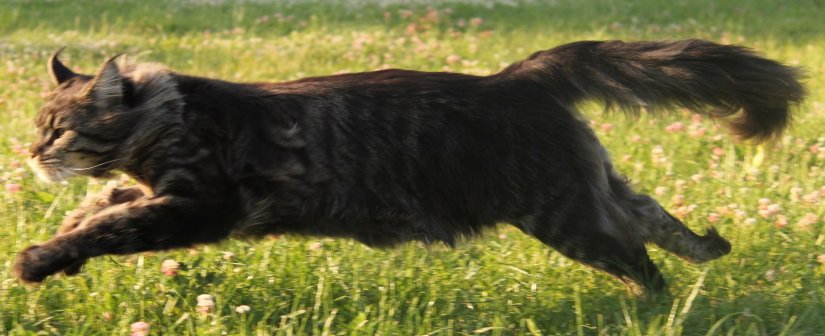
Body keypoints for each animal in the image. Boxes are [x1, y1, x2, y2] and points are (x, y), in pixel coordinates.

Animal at [16, 38, 804, 292]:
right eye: (36, 127)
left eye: (59, 130)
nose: (29, 154)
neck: (170, 113)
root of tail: (513, 78)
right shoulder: (165, 195)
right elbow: (103, 208)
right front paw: (67, 237)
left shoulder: (206, 205)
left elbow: (112, 226)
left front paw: (39, 260)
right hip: (594, 190)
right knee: (661, 226)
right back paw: (709, 252)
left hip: (565, 215)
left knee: (642, 263)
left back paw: (651, 309)